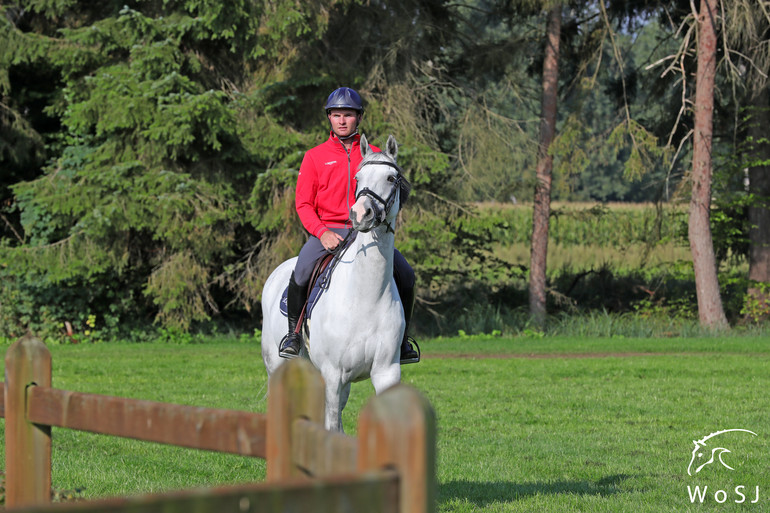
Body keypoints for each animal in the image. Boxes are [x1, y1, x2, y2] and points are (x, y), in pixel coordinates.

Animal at [260, 134, 408, 430]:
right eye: (358, 178)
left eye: (390, 178)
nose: (361, 214)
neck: (365, 295)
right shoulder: (332, 374)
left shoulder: (386, 372)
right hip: (279, 366)